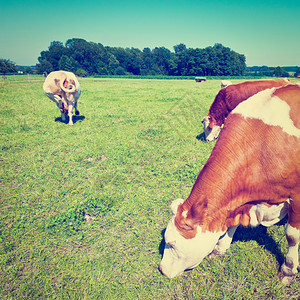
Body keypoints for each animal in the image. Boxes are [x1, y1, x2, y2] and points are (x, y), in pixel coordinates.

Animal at [159, 84, 300, 284]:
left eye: (171, 243)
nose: (161, 269)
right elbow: (232, 222)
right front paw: (220, 247)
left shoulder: (296, 196)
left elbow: (292, 235)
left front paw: (288, 269)